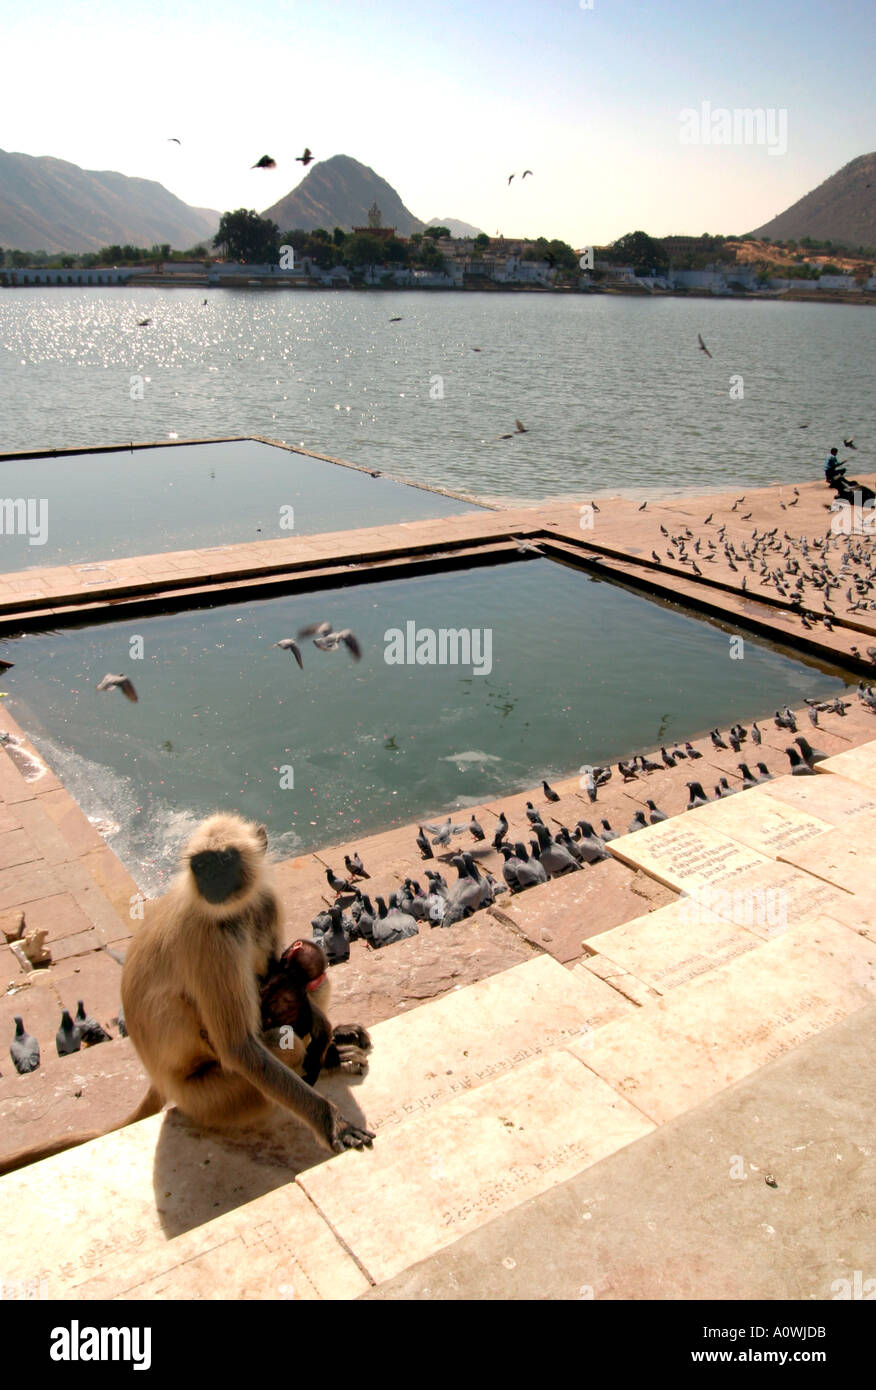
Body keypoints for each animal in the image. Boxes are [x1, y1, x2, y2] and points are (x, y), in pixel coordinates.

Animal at [0, 813, 373, 1177]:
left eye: (225, 860)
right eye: (201, 865)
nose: (211, 881)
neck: (236, 911)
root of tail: (161, 1082)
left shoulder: (265, 905)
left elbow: (286, 978)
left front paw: (328, 1037)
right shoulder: (209, 938)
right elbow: (238, 1046)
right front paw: (331, 1122)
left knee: (315, 985)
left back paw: (331, 1051)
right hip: (214, 1096)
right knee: (281, 1042)